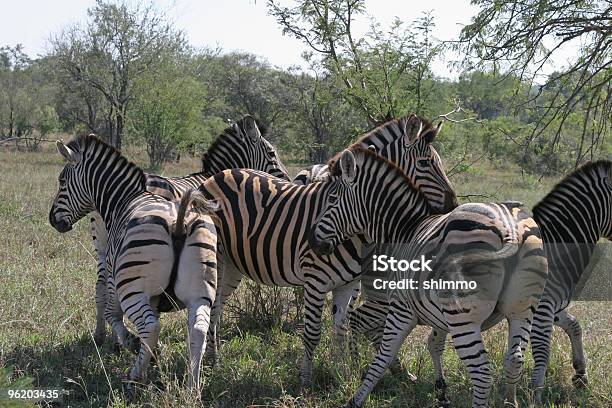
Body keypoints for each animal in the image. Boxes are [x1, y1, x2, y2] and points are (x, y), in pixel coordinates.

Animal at [49, 135, 219, 396]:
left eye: (62, 181)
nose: (52, 220)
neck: (124, 198)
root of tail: (178, 222)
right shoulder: (154, 297)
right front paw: (152, 354)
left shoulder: (113, 276)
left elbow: (112, 314)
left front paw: (133, 345)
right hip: (201, 292)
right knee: (198, 329)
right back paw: (192, 388)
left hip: (132, 288)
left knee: (150, 326)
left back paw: (135, 377)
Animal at [189, 114, 462, 386]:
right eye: (425, 163)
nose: (453, 205)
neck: (355, 231)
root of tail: (218, 174)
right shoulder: (316, 281)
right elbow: (312, 333)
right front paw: (306, 382)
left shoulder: (348, 284)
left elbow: (342, 328)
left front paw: (343, 376)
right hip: (218, 259)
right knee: (213, 307)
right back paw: (211, 363)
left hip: (234, 266)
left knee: (218, 309)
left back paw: (214, 360)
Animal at [308, 147, 548, 408]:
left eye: (332, 200)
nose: (313, 242)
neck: (402, 230)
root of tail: (510, 229)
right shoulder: (438, 315)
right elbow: (434, 345)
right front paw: (441, 391)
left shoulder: (402, 308)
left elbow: (383, 356)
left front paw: (357, 398)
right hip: (521, 309)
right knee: (514, 361)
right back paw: (509, 401)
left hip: (464, 316)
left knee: (482, 374)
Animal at [528, 159, 608, 402]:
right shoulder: (542, 307)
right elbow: (542, 351)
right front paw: (535, 398)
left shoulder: (554, 306)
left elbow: (574, 325)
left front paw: (581, 374)